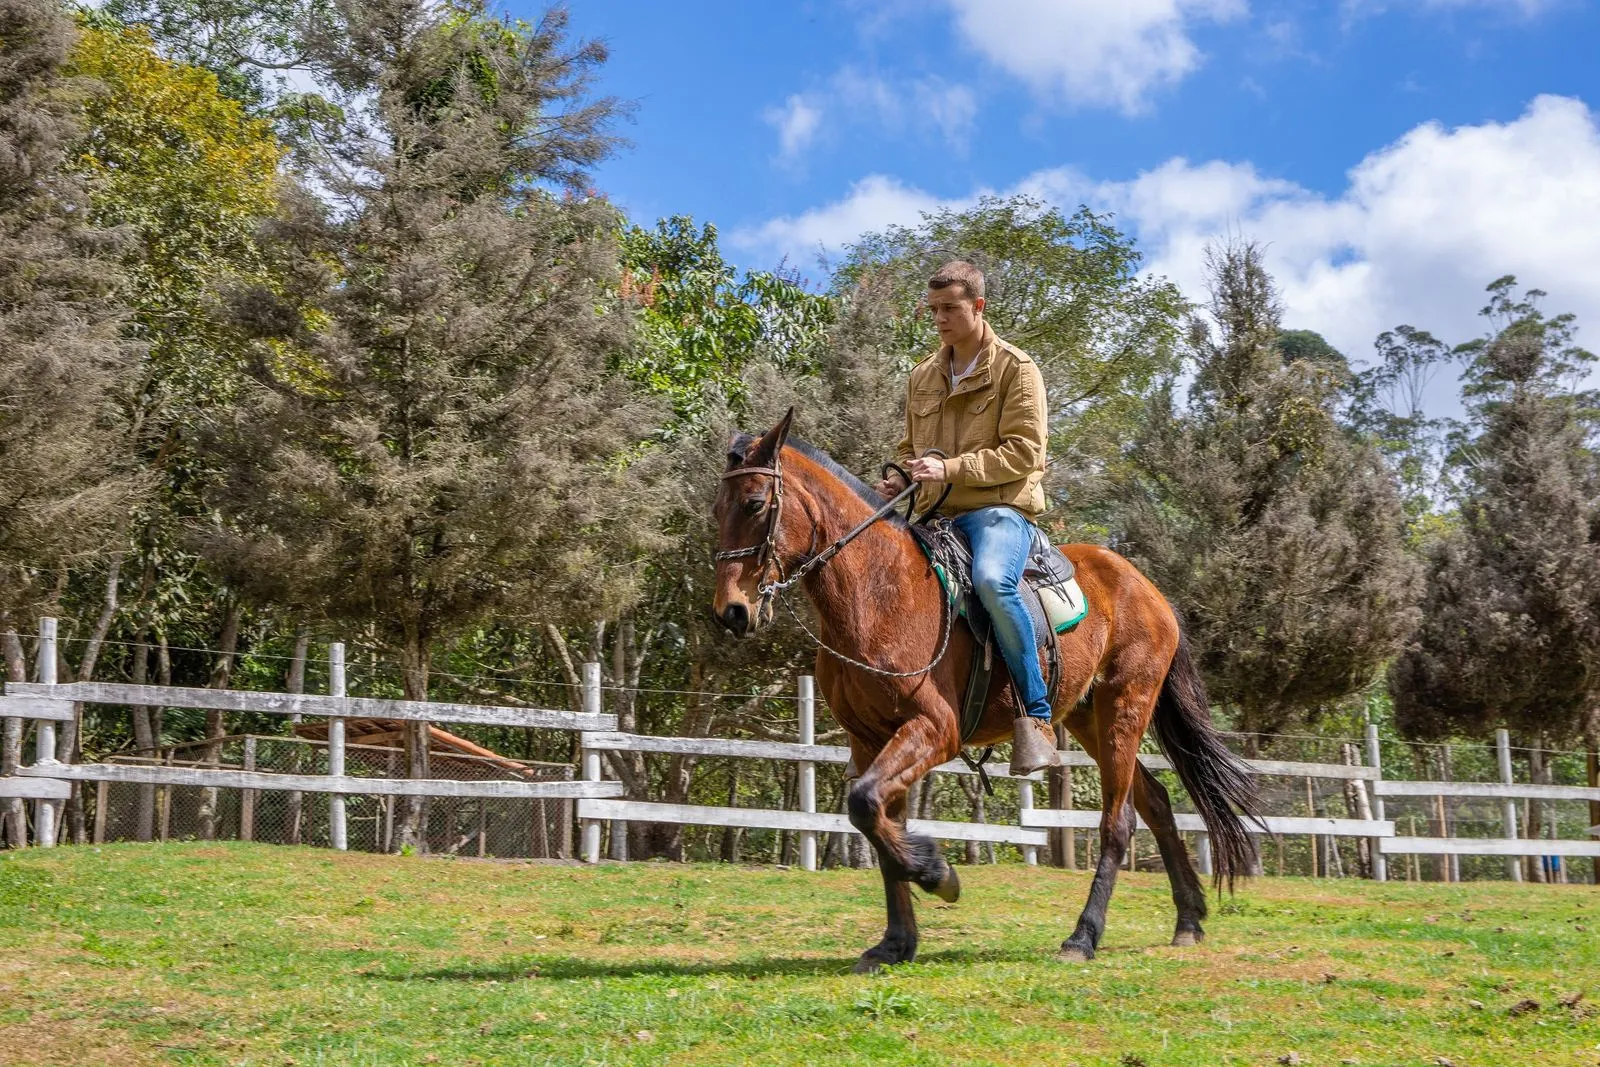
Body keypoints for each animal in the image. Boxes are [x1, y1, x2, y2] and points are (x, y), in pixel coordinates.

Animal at [711, 409, 1260, 972]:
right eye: (717, 508)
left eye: (754, 504)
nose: (731, 611)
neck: (878, 593)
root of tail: (1147, 588)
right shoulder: (869, 740)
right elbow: (877, 820)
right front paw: (896, 942)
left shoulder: (935, 730)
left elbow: (866, 806)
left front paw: (938, 876)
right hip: (1087, 717)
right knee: (1155, 803)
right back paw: (1188, 920)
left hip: (1125, 708)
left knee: (1119, 821)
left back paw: (1082, 937)